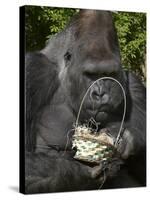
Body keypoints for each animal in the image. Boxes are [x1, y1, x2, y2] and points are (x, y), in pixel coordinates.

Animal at [22, 9, 146, 194]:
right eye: (90, 74)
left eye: (108, 74)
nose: (100, 93)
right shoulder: (32, 71)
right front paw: (85, 171)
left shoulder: (135, 87)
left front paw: (130, 138)